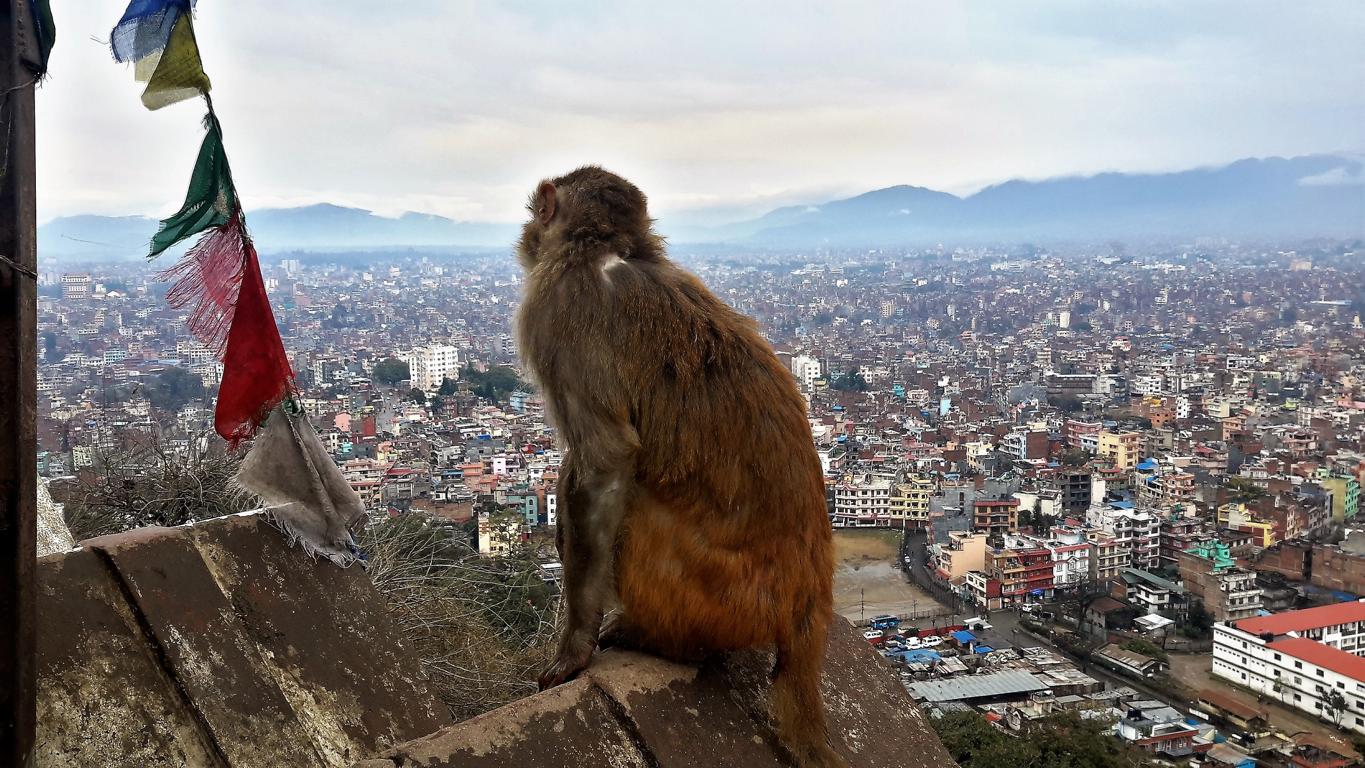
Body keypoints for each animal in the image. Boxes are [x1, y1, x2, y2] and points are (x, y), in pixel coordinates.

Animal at [515, 165, 840, 763]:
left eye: (540, 211)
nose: (529, 234)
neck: (608, 251)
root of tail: (806, 609)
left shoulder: (558, 311)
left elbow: (606, 459)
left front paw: (574, 646)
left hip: (718, 600)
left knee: (632, 499)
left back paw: (660, 639)